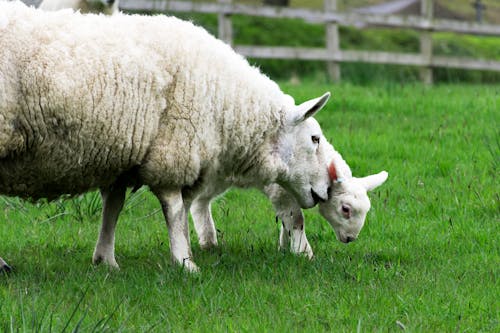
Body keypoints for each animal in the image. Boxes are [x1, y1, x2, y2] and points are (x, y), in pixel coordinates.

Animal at [0, 1, 336, 272]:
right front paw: (185, 262)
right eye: (315, 139)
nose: (328, 190)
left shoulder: (124, 157)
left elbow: (114, 208)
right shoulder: (173, 150)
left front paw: (105, 260)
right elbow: (175, 210)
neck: (226, 101)